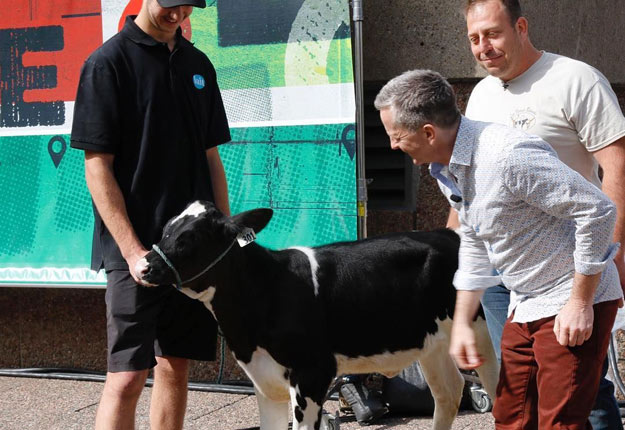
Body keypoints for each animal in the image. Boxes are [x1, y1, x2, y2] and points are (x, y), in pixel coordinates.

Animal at [135, 202, 498, 430]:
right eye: (166, 229)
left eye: (189, 238)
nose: (143, 266)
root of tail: (450, 234)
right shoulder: (264, 381)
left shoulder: (313, 372)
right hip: (434, 344)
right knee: (449, 392)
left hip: (483, 332)